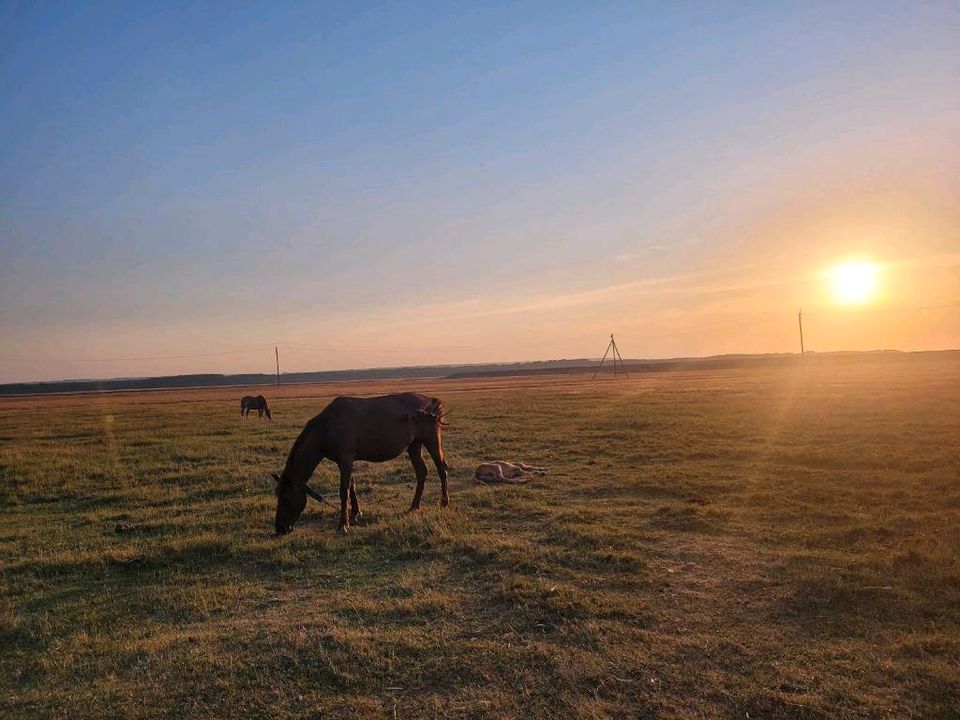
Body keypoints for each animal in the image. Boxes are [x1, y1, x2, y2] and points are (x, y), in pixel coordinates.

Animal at [272, 394, 448, 536]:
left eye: (285, 497)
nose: (280, 528)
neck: (326, 427)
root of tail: (431, 401)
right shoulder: (346, 460)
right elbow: (352, 486)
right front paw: (356, 513)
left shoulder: (345, 459)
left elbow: (343, 491)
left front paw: (343, 524)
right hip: (414, 445)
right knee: (421, 472)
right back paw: (414, 506)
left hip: (432, 441)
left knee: (441, 470)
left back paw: (444, 502)